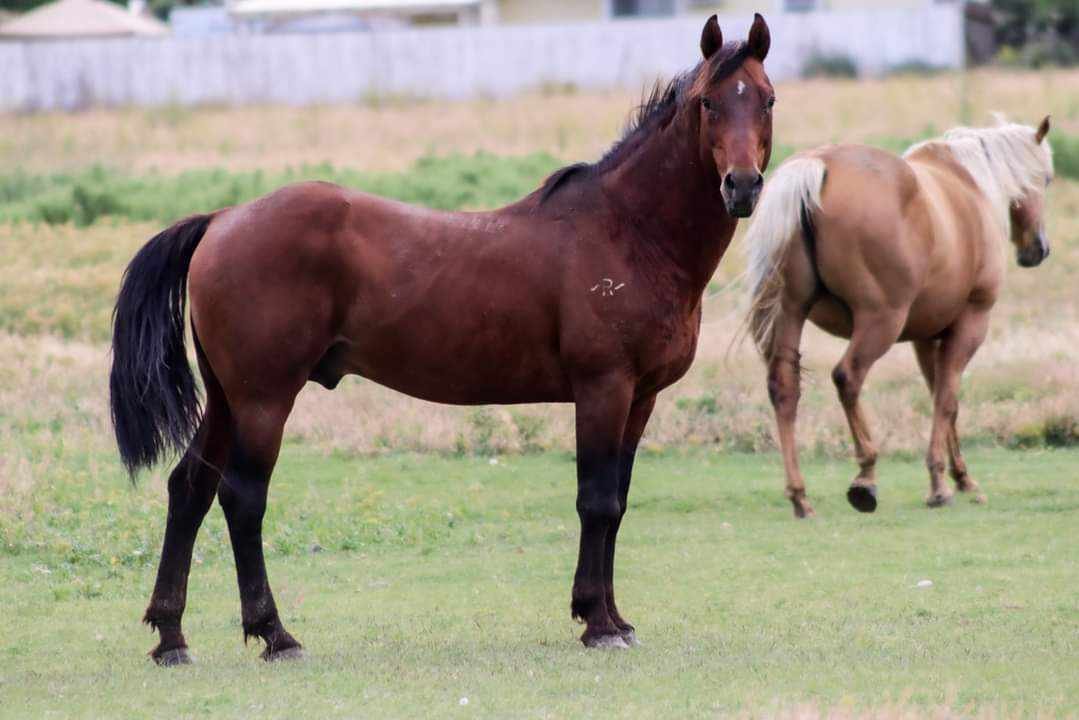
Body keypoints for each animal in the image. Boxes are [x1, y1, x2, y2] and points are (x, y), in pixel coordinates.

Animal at [109, 14, 776, 662]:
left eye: (767, 99)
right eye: (709, 103)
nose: (742, 186)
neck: (627, 230)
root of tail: (222, 219)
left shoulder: (641, 398)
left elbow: (618, 501)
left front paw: (613, 618)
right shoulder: (602, 390)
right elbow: (597, 501)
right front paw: (596, 624)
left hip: (227, 399)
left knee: (190, 489)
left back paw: (171, 637)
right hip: (264, 400)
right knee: (242, 499)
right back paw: (275, 634)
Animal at [742, 117, 1054, 518]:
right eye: (1046, 178)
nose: (1039, 248)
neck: (968, 183)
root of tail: (818, 165)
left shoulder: (925, 336)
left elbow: (941, 398)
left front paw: (960, 478)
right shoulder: (969, 326)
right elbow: (947, 400)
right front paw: (940, 485)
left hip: (790, 315)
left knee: (784, 388)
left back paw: (800, 495)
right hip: (880, 323)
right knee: (848, 377)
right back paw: (865, 476)